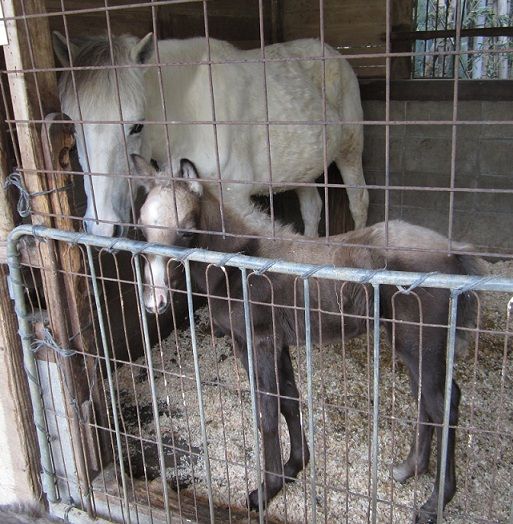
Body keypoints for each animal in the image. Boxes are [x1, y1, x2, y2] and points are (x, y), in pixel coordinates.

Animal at [53, 32, 368, 237]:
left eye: (137, 126)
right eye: (72, 124)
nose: (102, 226)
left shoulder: (235, 202)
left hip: (351, 151)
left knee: (359, 202)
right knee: (312, 209)